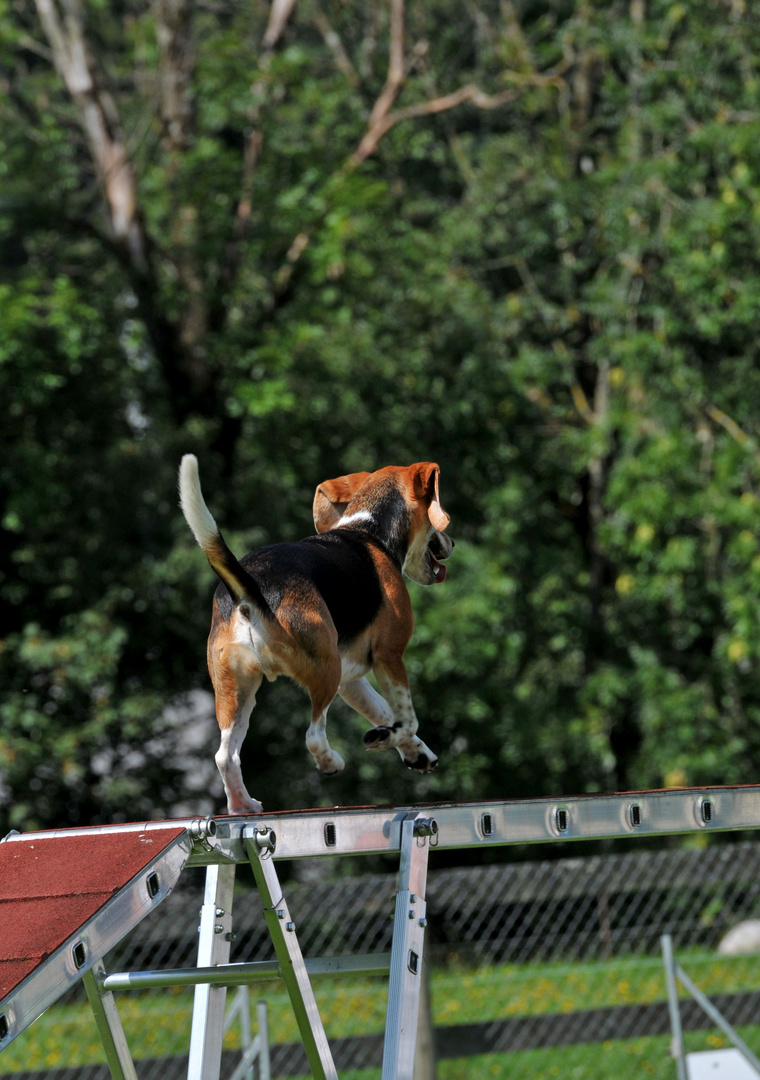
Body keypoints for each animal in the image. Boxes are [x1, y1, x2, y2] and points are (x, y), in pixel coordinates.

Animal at [181, 451, 453, 812]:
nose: (452, 542)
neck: (369, 530)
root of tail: (252, 587)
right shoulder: (389, 656)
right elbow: (407, 718)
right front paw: (386, 738)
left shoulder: (352, 681)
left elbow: (385, 711)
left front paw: (416, 752)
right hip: (326, 670)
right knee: (313, 736)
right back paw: (331, 762)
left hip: (237, 692)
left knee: (225, 756)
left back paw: (242, 805)